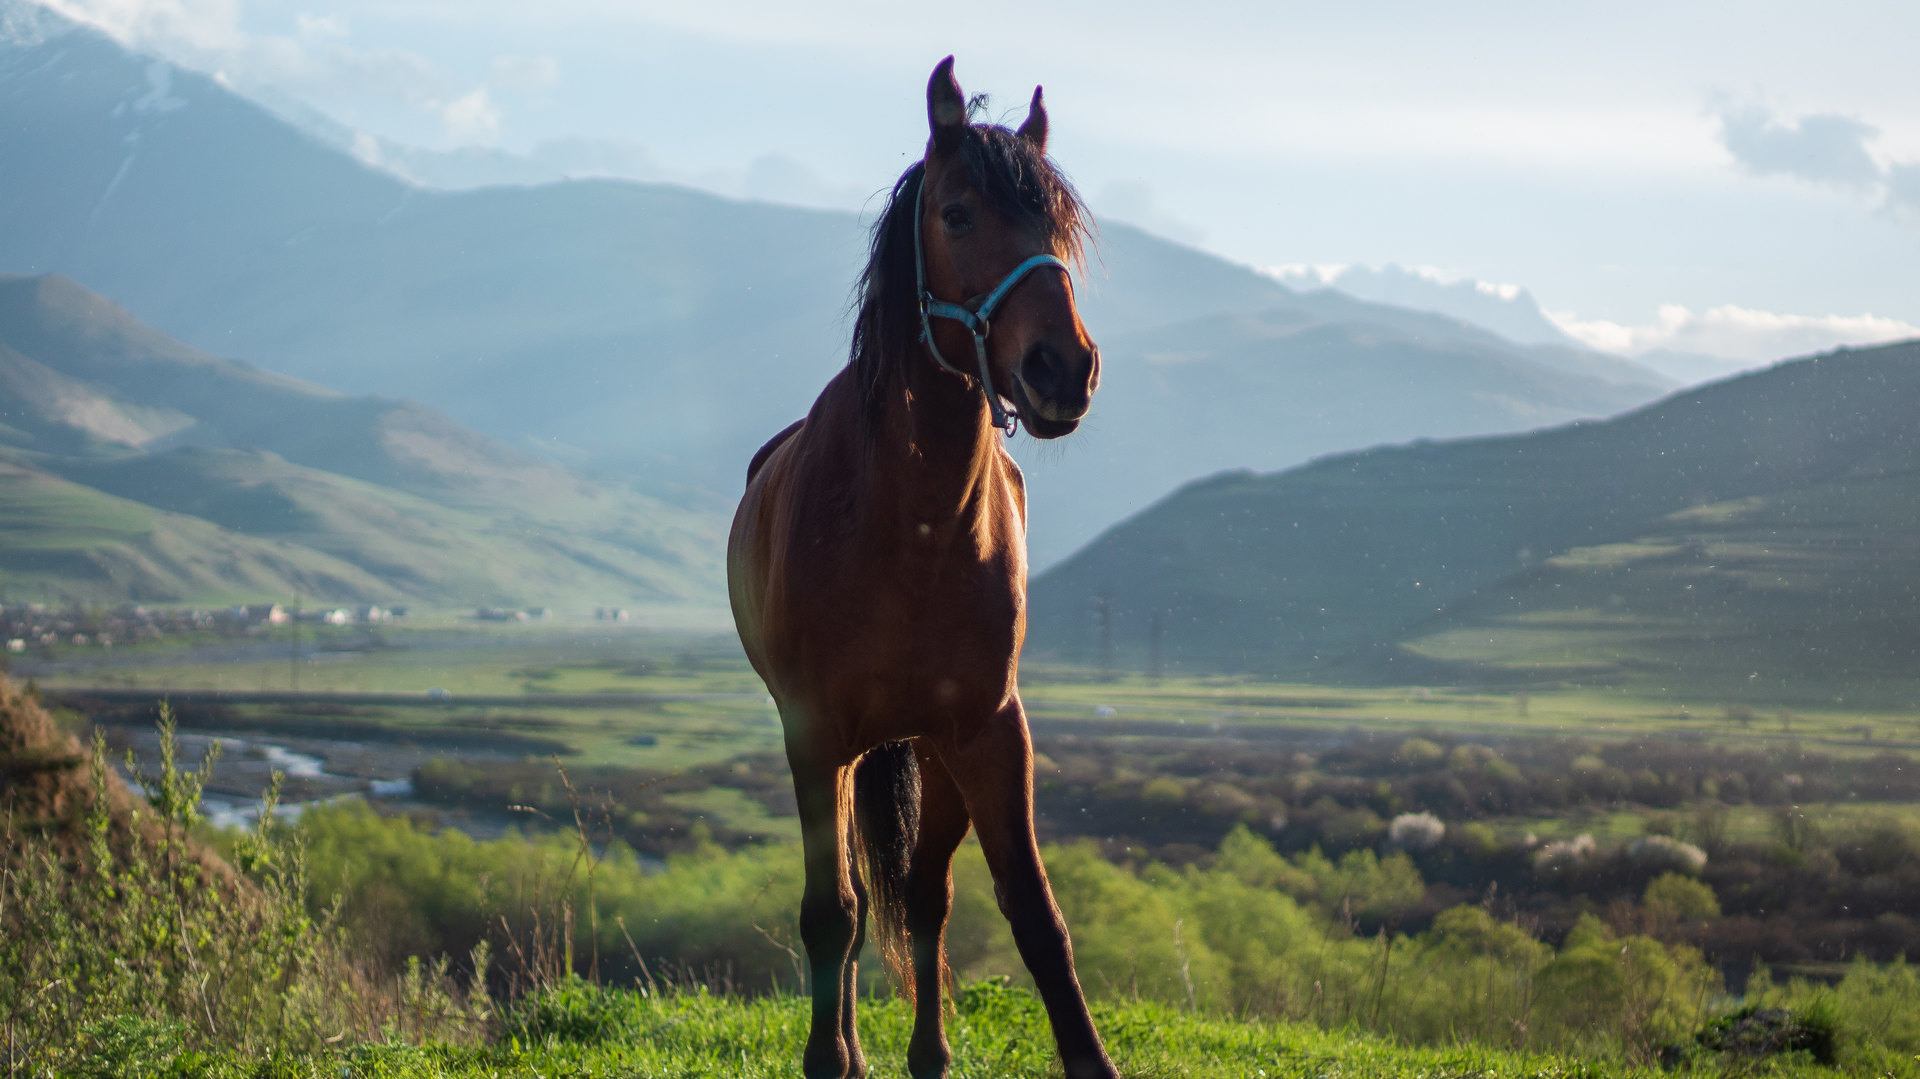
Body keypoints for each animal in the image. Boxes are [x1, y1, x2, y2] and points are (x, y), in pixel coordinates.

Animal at [725, 56, 1121, 1075]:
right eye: (957, 214)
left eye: (1059, 226)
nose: (1064, 369)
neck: (913, 528)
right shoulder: (815, 732)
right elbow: (832, 913)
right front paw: (829, 1058)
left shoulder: (990, 729)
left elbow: (1034, 915)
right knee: (861, 903)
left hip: (933, 751)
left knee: (926, 893)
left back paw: (928, 1054)